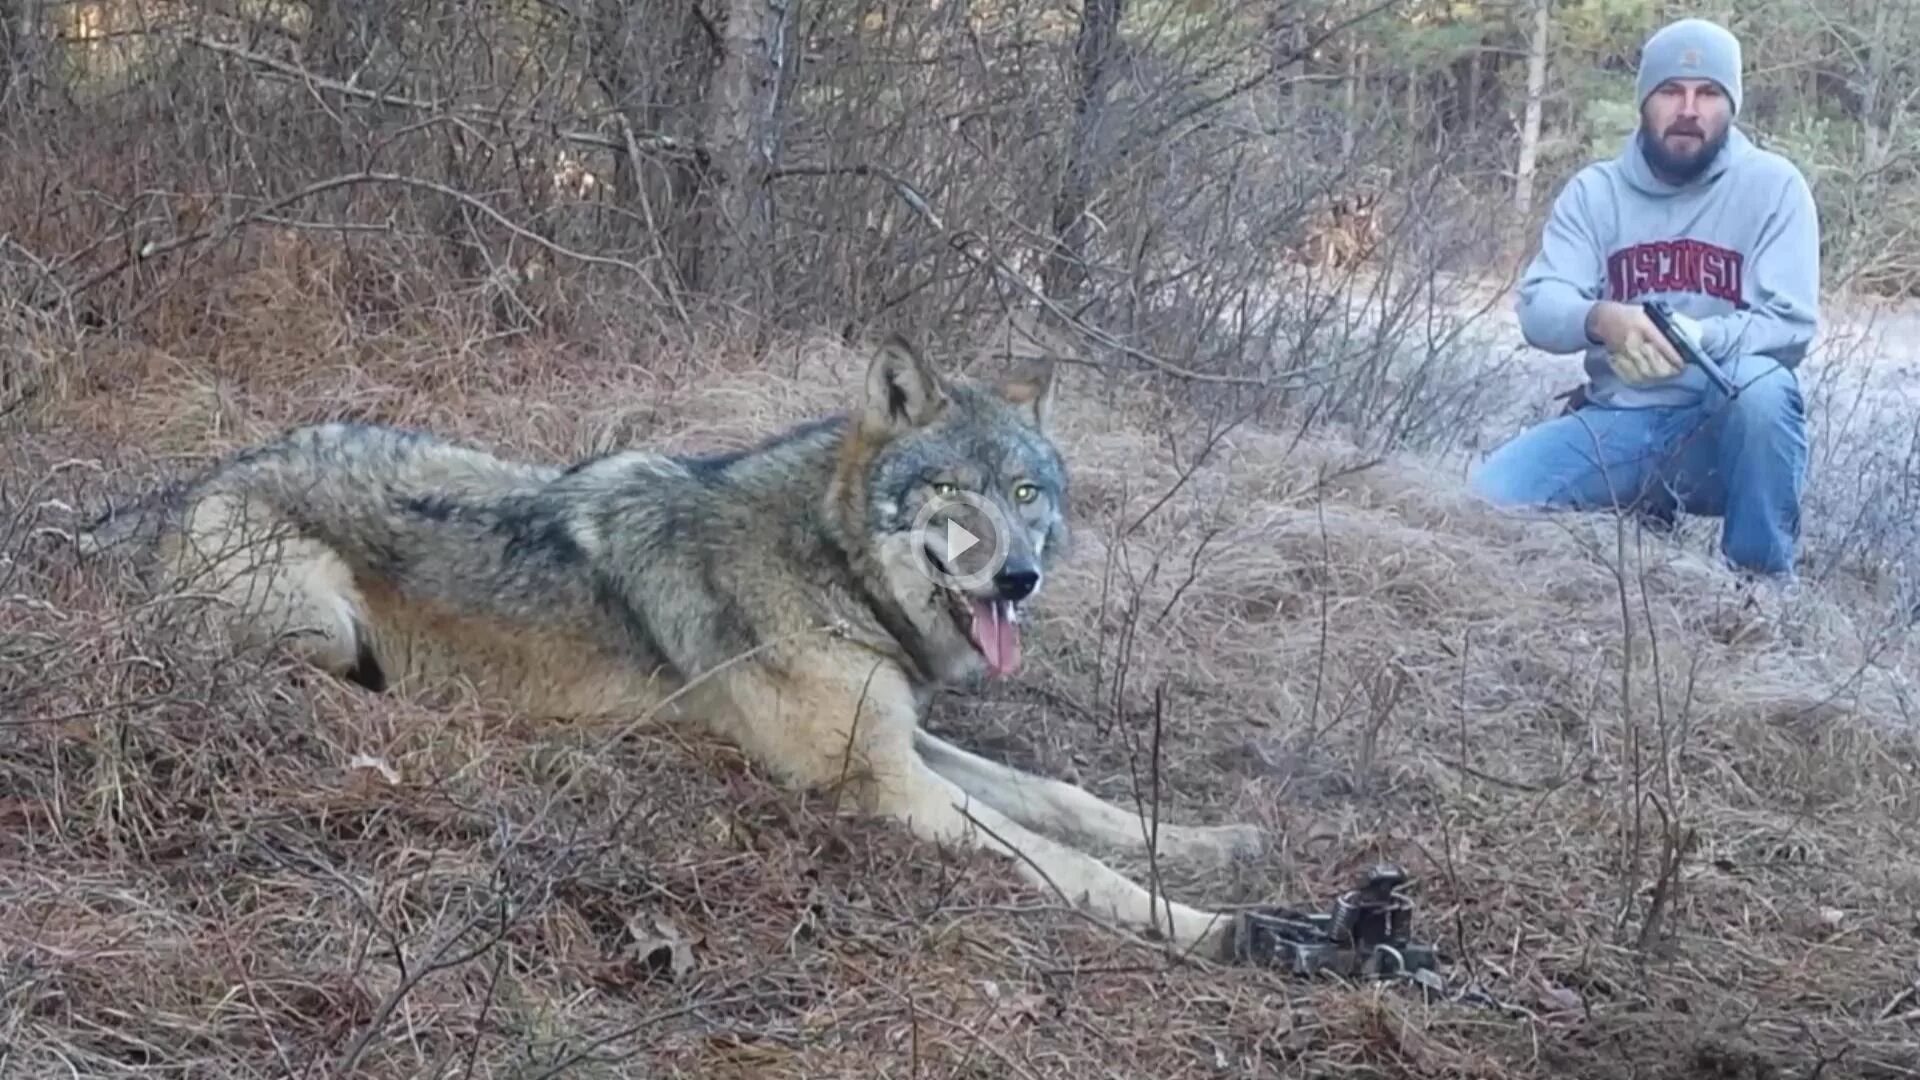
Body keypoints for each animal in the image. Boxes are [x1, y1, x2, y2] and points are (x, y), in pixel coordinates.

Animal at [82, 336, 1267, 949]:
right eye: (953, 493)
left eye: (1027, 494)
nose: (1018, 577)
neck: (827, 561)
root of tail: (202, 479)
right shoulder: (885, 784)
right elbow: (1072, 864)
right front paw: (1224, 928)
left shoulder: (908, 740)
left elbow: (1076, 803)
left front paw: (1219, 844)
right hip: (321, 624)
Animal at [1466, 12, 1812, 576]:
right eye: (1673, 89)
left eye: (1706, 93)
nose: (1689, 114)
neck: (1678, 179)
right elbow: (1546, 292)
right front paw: (1618, 330)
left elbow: (1785, 312)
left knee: (1762, 388)